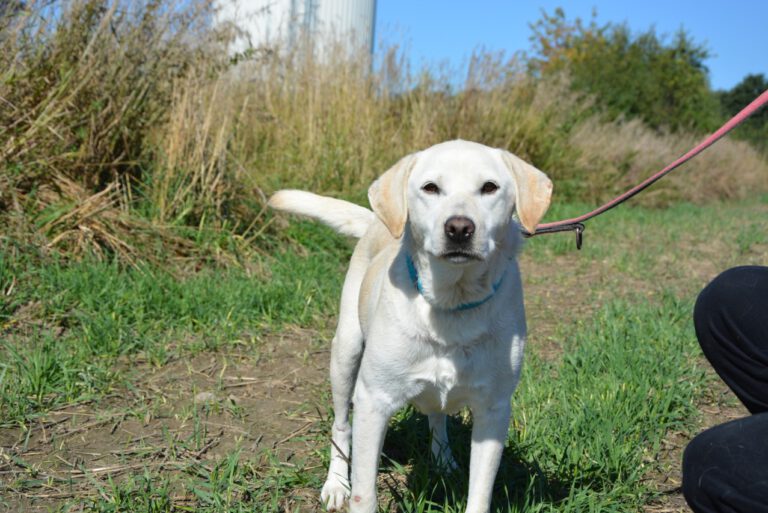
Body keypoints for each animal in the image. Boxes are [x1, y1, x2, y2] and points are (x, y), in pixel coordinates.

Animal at [270, 140, 552, 512]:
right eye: (430, 188)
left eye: (489, 187)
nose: (459, 228)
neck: (452, 302)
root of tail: (375, 223)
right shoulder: (373, 402)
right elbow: (364, 492)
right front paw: (352, 491)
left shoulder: (494, 411)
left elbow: (479, 493)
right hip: (345, 355)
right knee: (341, 426)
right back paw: (336, 484)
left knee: (437, 415)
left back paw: (443, 460)